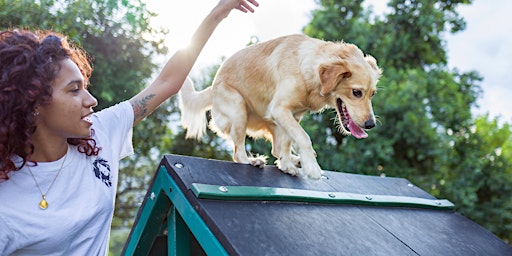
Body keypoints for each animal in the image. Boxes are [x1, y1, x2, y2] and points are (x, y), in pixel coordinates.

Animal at [179, 34, 380, 180]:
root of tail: (212, 87)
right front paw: (312, 166)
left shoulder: (293, 115)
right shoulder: (280, 109)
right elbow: (304, 137)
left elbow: (289, 142)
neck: (306, 67)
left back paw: (292, 160)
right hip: (239, 109)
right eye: (357, 92)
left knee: (276, 148)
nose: (371, 125)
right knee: (238, 153)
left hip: (272, 122)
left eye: (373, 94)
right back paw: (253, 161)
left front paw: (288, 165)